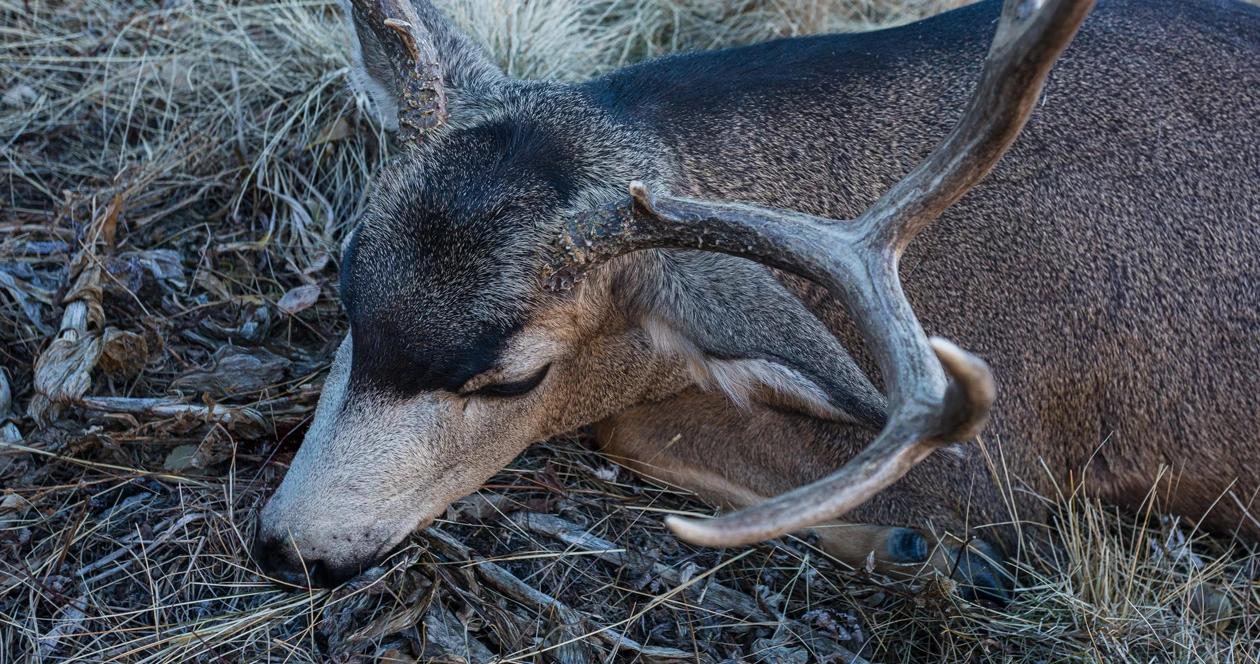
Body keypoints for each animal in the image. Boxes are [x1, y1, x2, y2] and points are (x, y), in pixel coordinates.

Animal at [253, 0, 1260, 597]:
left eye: (512, 380)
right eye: (348, 287)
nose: (289, 546)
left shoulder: (1005, 461)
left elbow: (631, 425)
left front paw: (923, 546)